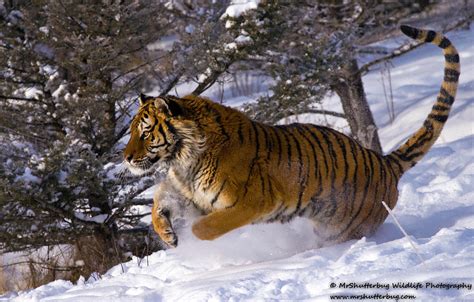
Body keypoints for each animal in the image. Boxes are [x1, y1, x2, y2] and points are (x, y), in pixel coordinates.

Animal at [122, 26, 460, 248]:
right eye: (132, 132)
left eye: (145, 132)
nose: (125, 158)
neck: (183, 158)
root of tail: (384, 161)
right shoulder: (187, 191)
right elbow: (159, 201)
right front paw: (167, 233)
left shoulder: (251, 202)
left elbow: (206, 227)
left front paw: (193, 237)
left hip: (343, 229)